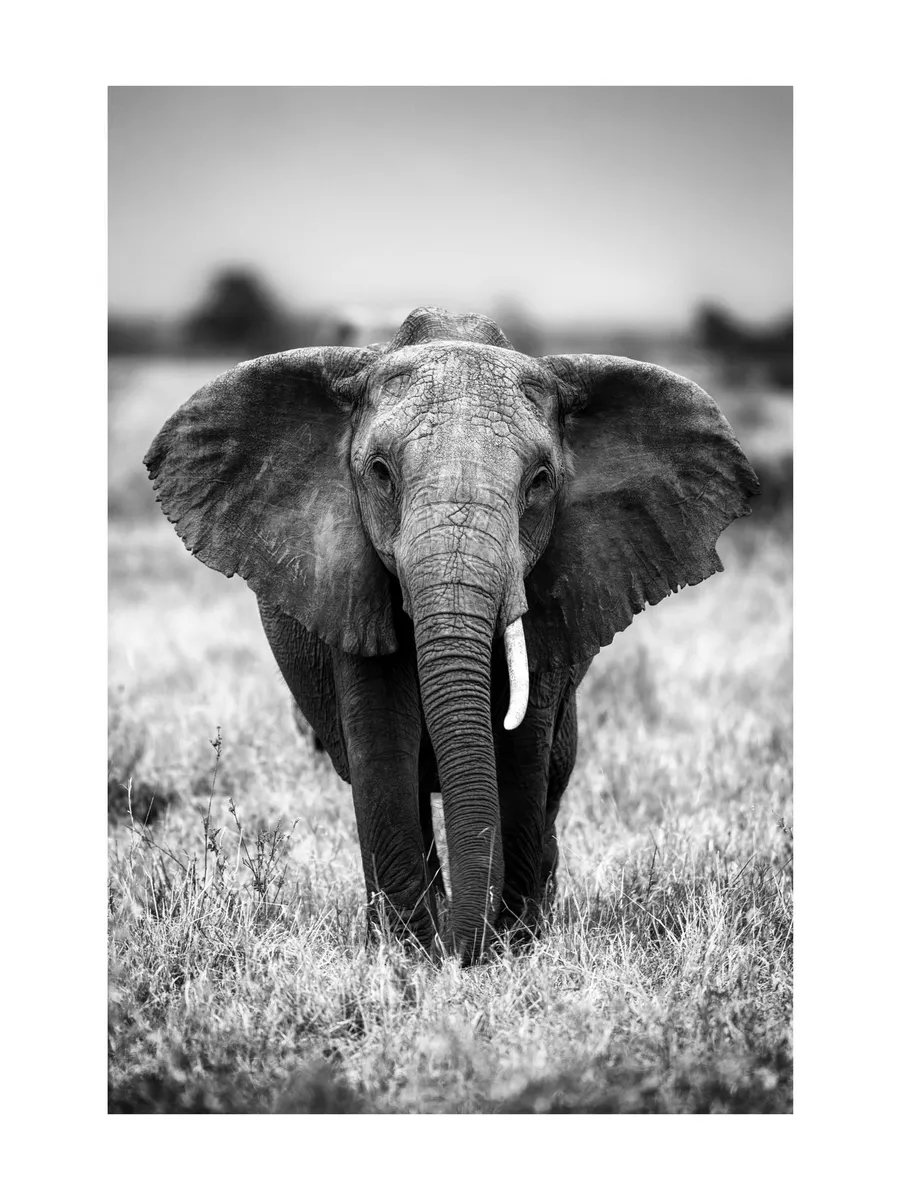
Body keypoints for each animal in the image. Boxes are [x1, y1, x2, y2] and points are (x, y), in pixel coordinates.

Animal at [145, 306, 759, 963]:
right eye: (381, 474)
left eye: (540, 481)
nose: (464, 951)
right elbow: (383, 742)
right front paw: (408, 956)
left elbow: (521, 749)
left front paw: (508, 948)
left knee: (553, 777)